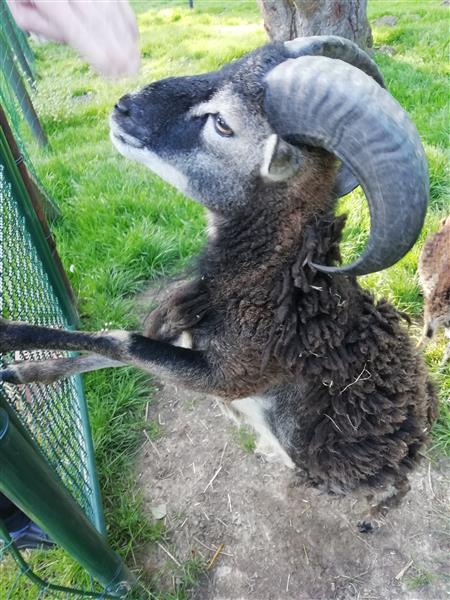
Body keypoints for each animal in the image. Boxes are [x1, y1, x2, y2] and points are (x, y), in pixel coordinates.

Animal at [0, 36, 436, 528]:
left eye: (224, 124)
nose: (123, 108)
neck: (270, 287)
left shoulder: (225, 377)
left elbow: (122, 342)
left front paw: (9, 338)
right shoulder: (185, 336)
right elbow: (112, 348)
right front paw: (25, 372)